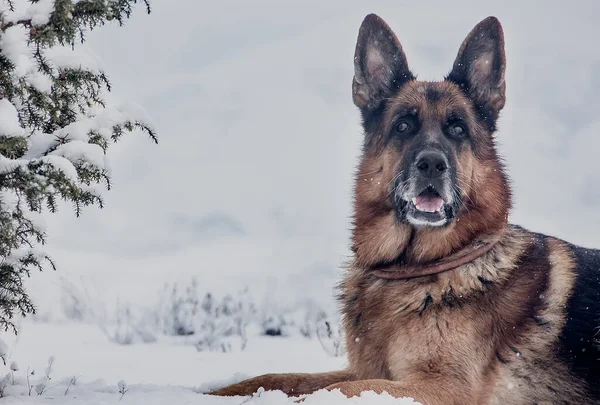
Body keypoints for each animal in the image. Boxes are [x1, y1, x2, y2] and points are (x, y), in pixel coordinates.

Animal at [210, 14, 600, 402]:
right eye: (403, 125)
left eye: (458, 129)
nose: (431, 164)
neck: (415, 268)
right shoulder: (365, 370)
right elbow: (279, 377)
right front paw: (220, 391)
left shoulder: (442, 386)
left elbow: (333, 390)